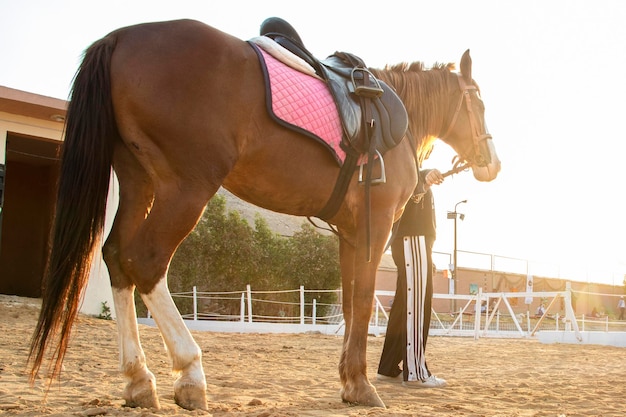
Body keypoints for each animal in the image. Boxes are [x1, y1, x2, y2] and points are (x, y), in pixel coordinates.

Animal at [28, 18, 498, 410]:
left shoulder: (349, 234)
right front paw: (363, 387)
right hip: (186, 188)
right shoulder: (374, 226)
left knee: (116, 258)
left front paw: (349, 382)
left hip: (138, 181)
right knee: (145, 261)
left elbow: (350, 306)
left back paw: (139, 380)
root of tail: (121, 37)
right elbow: (364, 304)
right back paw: (190, 373)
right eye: (479, 105)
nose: (491, 163)